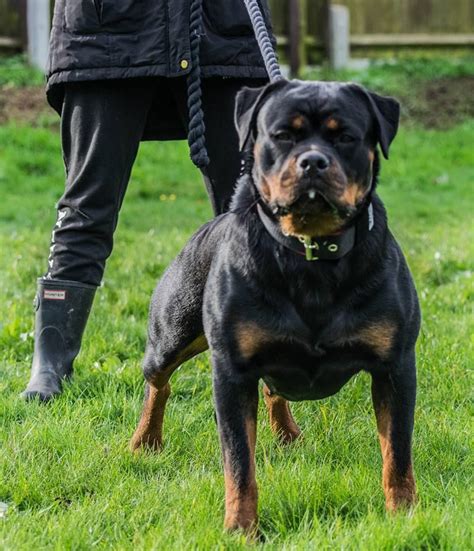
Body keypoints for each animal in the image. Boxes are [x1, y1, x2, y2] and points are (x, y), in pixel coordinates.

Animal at [129, 78, 418, 536]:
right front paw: (240, 528)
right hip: (171, 334)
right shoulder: (232, 374)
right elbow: (239, 464)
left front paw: (403, 516)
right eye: (283, 135)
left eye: (346, 137)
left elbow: (398, 454)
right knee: (158, 383)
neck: (310, 253)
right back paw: (146, 441)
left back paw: (287, 435)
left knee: (272, 390)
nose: (313, 162)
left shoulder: (396, 367)